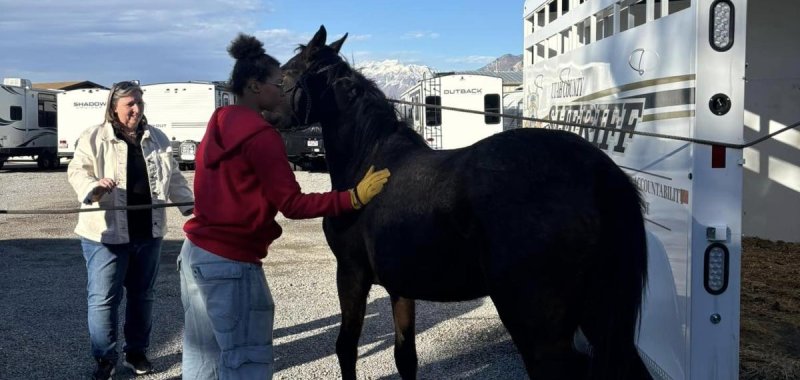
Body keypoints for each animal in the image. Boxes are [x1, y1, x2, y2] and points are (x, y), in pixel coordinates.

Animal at [272, 25, 652, 378]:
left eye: (284, 75)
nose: (270, 118)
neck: (370, 162)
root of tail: (599, 172)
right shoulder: (400, 285)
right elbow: (405, 356)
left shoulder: (351, 273)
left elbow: (346, 348)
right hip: (600, 314)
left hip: (540, 332)